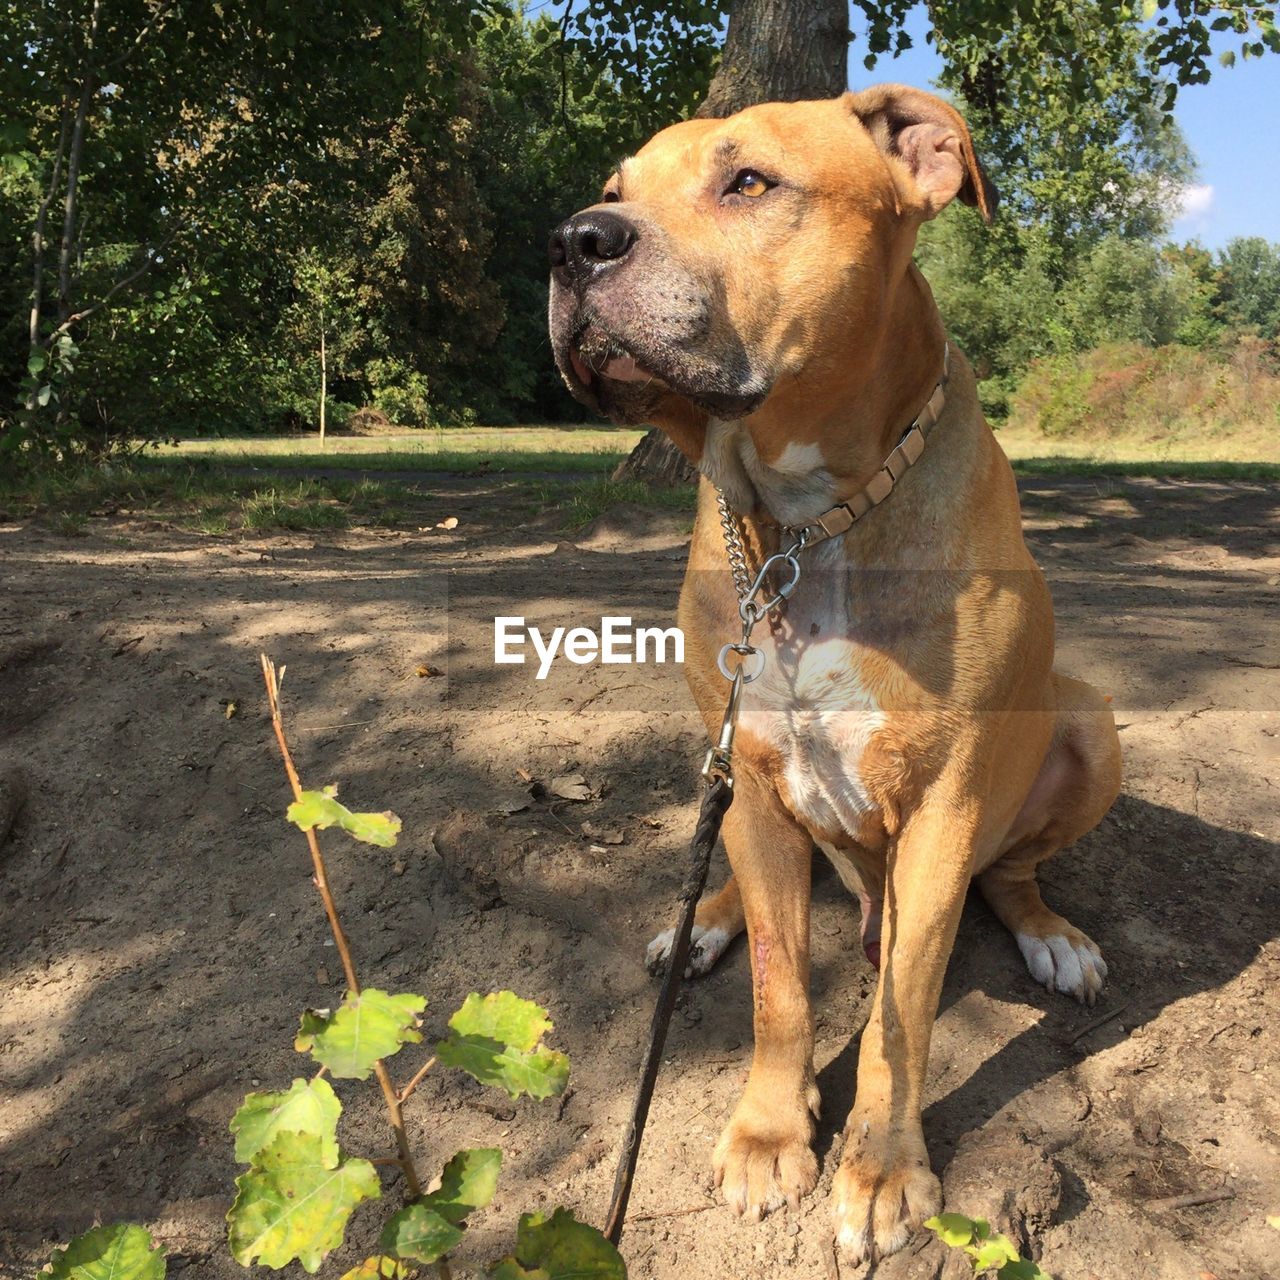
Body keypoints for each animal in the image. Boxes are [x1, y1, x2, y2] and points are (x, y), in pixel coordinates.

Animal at [550, 87, 1121, 1259]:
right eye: (614, 188)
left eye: (749, 182)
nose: (574, 240)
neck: (805, 523)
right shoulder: (754, 775)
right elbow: (781, 985)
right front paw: (772, 1132)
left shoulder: (944, 807)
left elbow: (903, 1012)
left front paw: (883, 1169)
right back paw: (702, 919)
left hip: (1089, 725)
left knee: (1012, 876)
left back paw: (1051, 937)